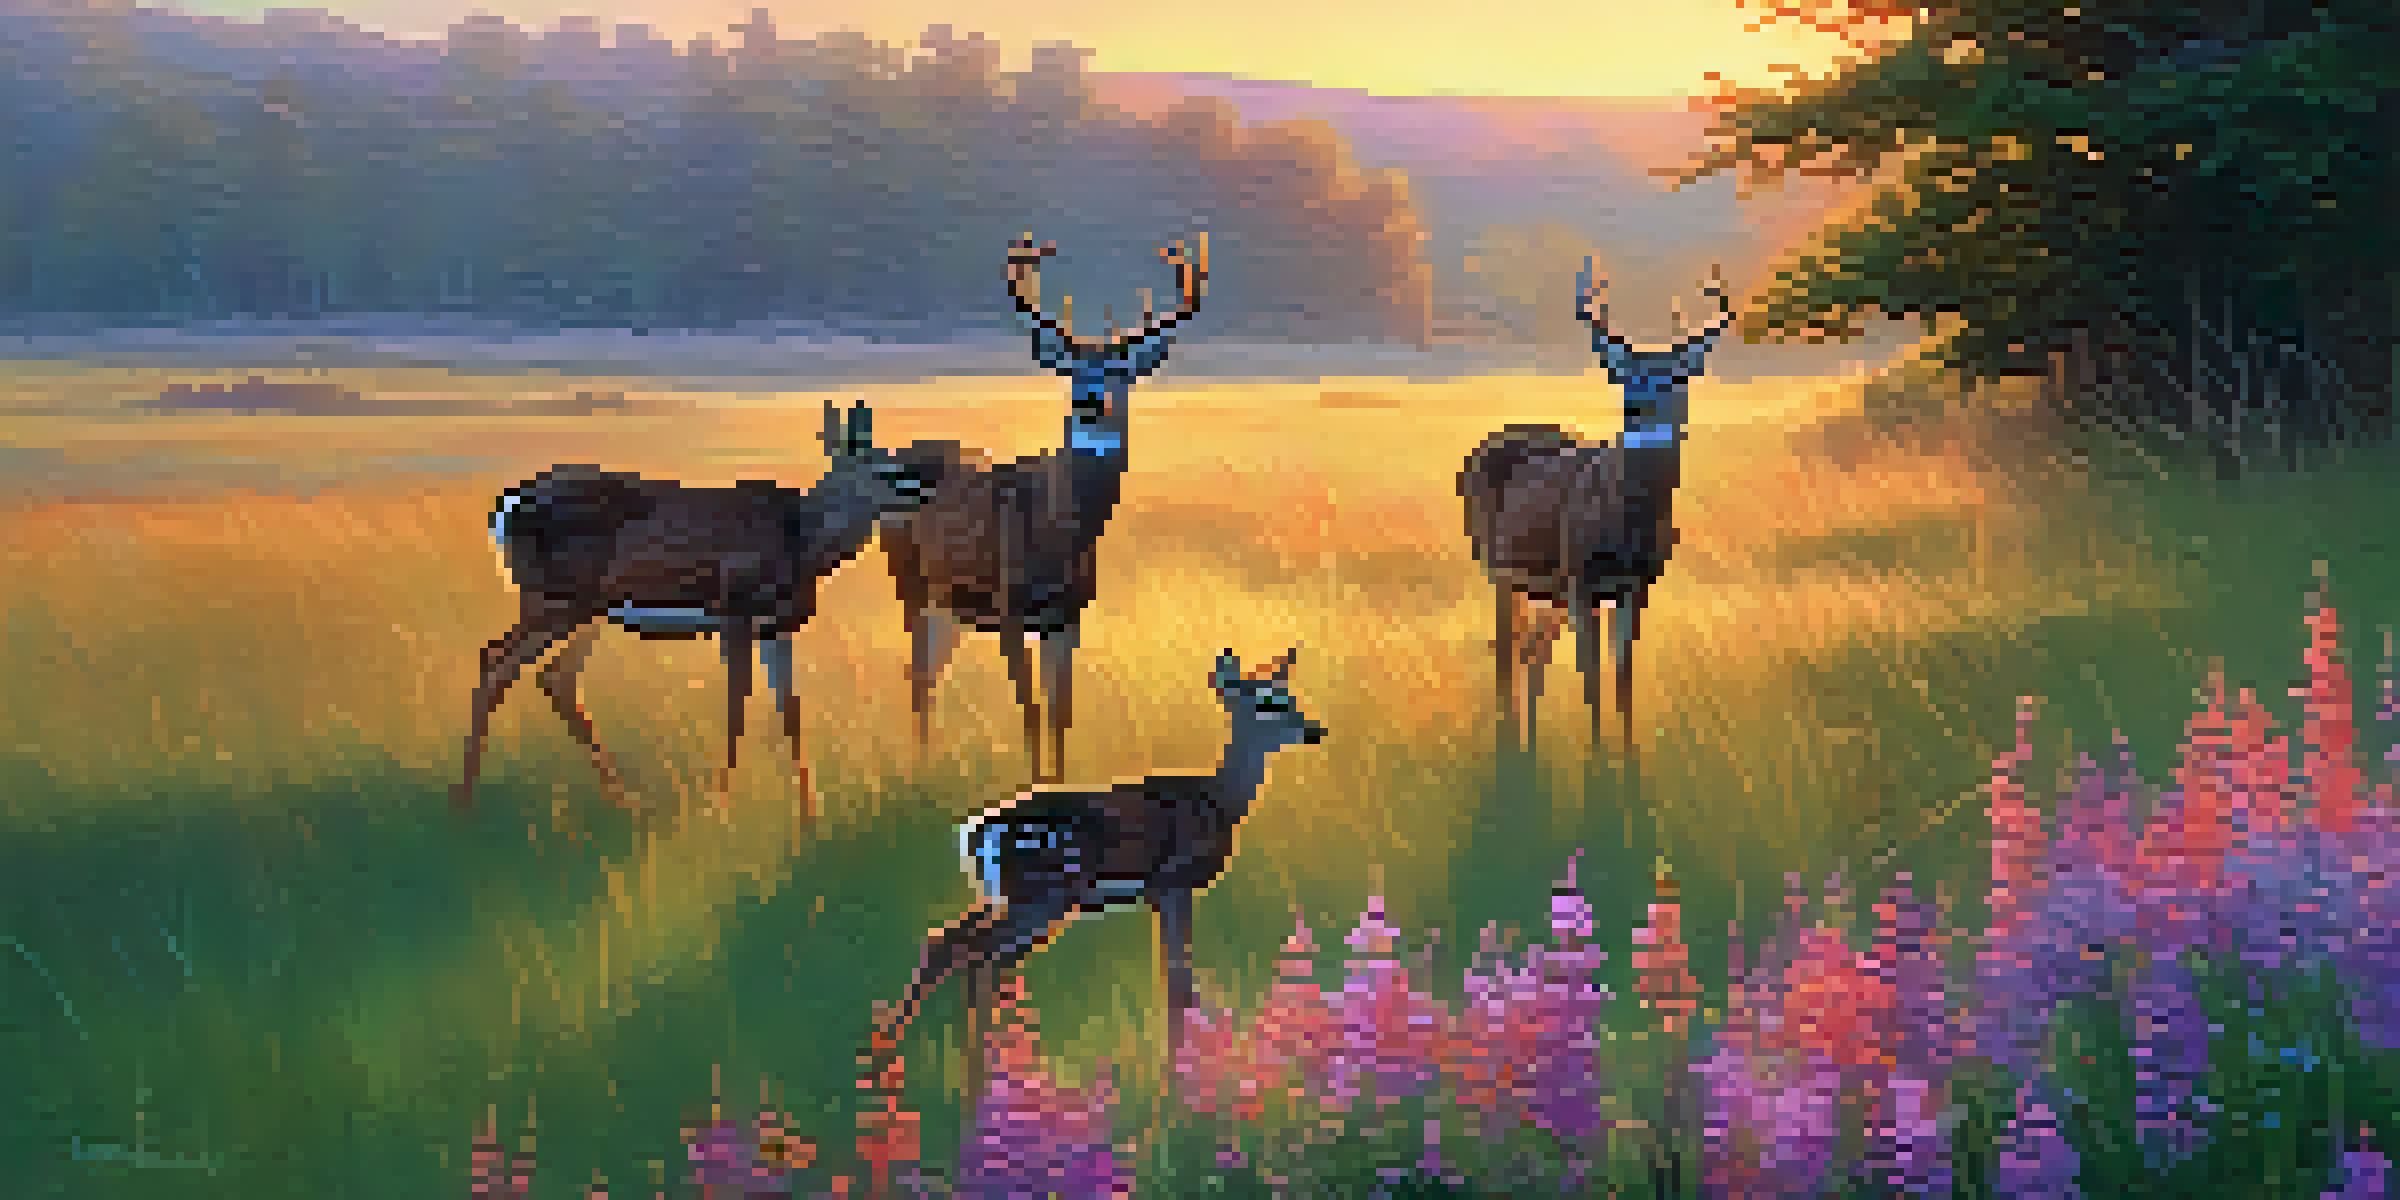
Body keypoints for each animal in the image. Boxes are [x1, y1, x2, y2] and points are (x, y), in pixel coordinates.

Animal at [455, 399, 933, 813]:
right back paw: (465, 809)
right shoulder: (734, 613)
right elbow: (737, 705)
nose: (924, 493)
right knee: (494, 661)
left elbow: (791, 711)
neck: (801, 537)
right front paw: (723, 805)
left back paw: (624, 802)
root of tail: (509, 503)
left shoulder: (776, 626)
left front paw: (809, 817)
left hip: (588, 611)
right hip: (555, 601)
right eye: (886, 469)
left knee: (554, 676)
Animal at [859, 646, 1324, 1105]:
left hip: (1004, 897)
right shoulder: (1173, 882)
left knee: (946, 942)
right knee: (980, 955)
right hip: (1042, 895)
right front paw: (1175, 1084)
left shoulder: (1161, 893)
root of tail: (974, 833)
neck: (1220, 801)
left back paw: (892, 1066)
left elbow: (1177, 980)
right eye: (1268, 703)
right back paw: (969, 1088)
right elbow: (1179, 983)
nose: (1313, 730)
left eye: (1290, 696)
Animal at [878, 232, 1208, 785]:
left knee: (926, 670)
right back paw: (920, 770)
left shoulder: (1068, 615)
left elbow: (1061, 712)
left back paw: (931, 763)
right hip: (911, 581)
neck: (1058, 538)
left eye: (1122, 371)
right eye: (1072, 371)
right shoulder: (1010, 605)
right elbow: (1029, 709)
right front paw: (1034, 785)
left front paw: (1059, 780)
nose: (1091, 402)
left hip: (952, 604)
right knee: (917, 672)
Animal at [1458, 258, 1734, 753]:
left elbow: (1623, 677)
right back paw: (1509, 745)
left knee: (1532, 654)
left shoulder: (1635, 585)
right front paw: (1597, 757)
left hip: (1547, 589)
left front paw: (1628, 756)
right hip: (1500, 567)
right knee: (1506, 655)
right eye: (1623, 375)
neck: (1627, 523)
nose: (1637, 407)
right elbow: (1590, 678)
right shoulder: (1581, 577)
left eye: (1676, 376)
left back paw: (1529, 747)